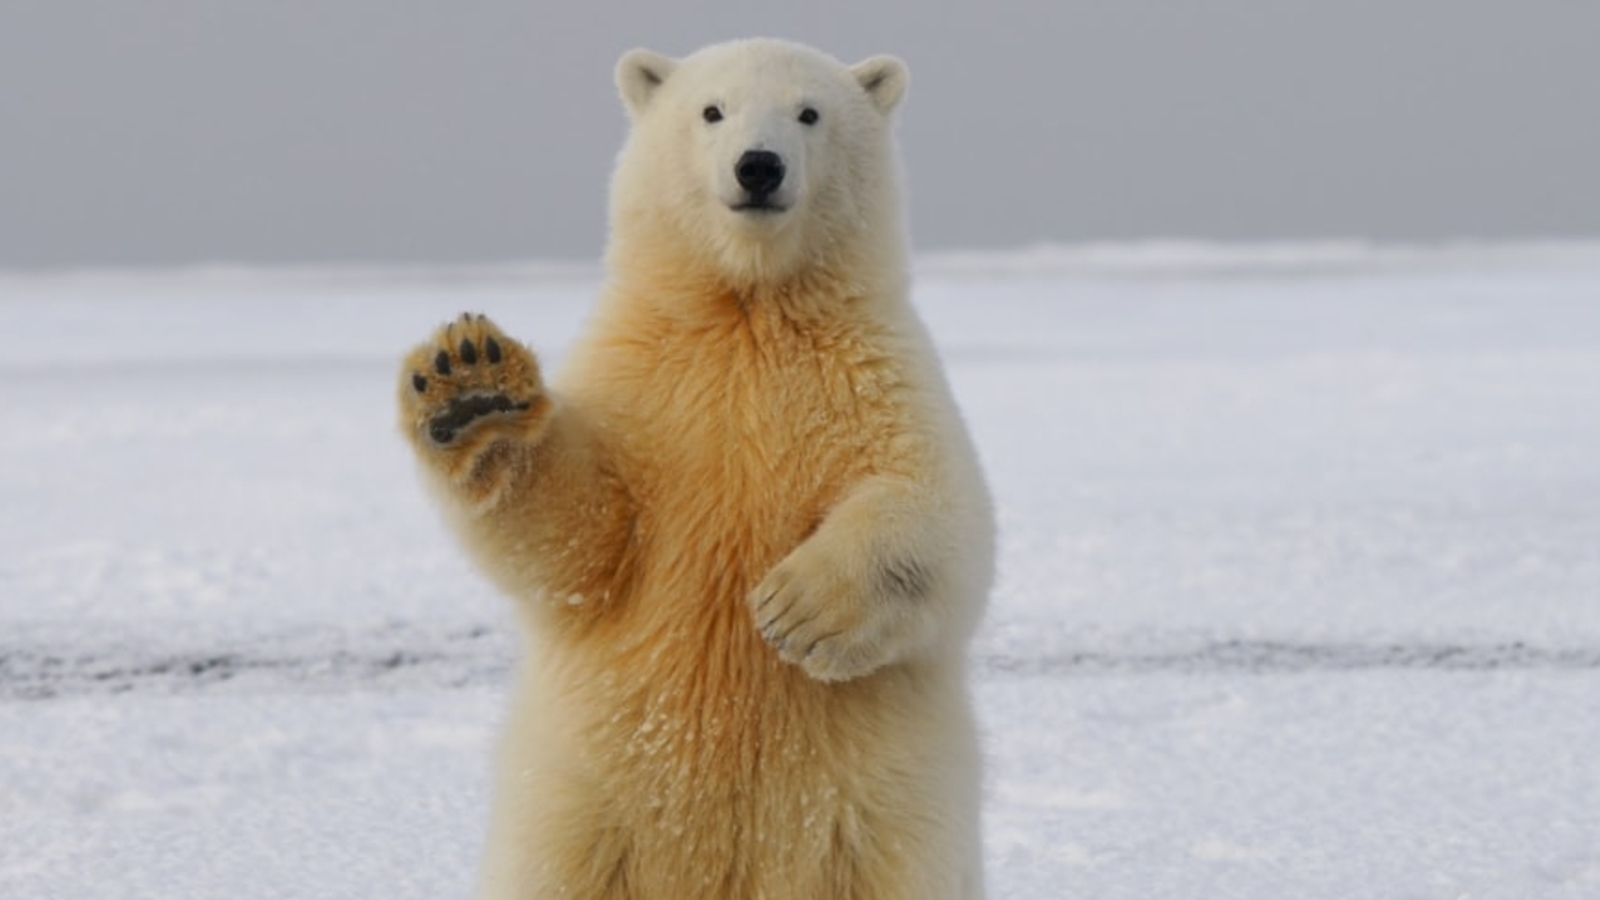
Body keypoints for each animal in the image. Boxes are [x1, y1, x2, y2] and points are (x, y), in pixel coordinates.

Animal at [397, 38, 993, 900]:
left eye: (809, 112)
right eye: (712, 110)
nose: (758, 166)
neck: (747, 309)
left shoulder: (878, 377)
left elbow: (940, 515)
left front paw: (797, 609)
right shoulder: (644, 387)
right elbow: (581, 537)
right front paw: (471, 386)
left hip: (880, 826)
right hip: (579, 813)